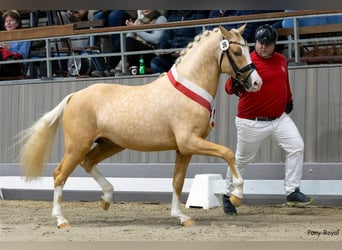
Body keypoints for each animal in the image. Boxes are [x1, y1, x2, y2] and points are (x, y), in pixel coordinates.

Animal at [19, 24, 262, 228]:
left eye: (248, 50)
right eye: (237, 52)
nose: (256, 82)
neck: (189, 88)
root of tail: (74, 96)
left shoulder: (184, 149)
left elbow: (177, 181)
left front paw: (181, 217)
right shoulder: (190, 142)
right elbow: (228, 153)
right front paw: (236, 195)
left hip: (110, 144)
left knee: (88, 163)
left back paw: (106, 199)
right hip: (77, 146)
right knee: (60, 174)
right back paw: (61, 220)